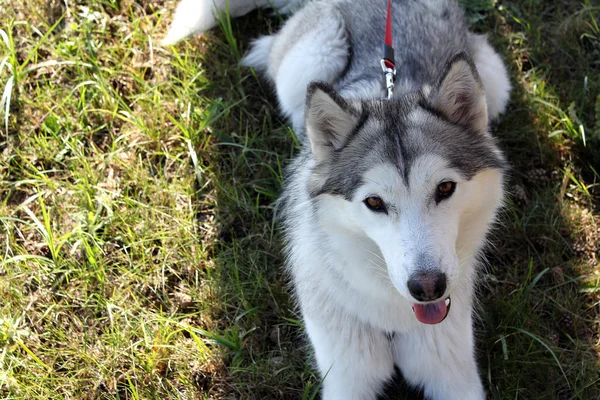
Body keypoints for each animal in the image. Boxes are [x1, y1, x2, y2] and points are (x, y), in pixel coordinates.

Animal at [165, 0, 510, 398]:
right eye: (374, 202)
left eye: (445, 189)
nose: (427, 287)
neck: (394, 314)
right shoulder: (346, 375)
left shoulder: (454, 374)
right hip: (309, 60)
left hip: (497, 82)